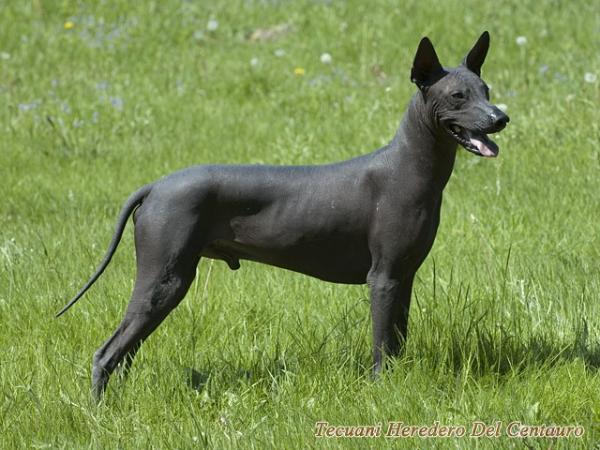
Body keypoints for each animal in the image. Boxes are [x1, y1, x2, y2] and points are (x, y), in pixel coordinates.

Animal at [56, 30, 508, 398]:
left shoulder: (404, 277)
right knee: (106, 353)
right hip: (164, 280)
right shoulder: (382, 279)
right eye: (458, 97)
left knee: (125, 352)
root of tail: (156, 186)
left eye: (486, 89)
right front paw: (382, 391)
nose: (500, 118)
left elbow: (397, 341)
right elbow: (382, 346)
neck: (411, 167)